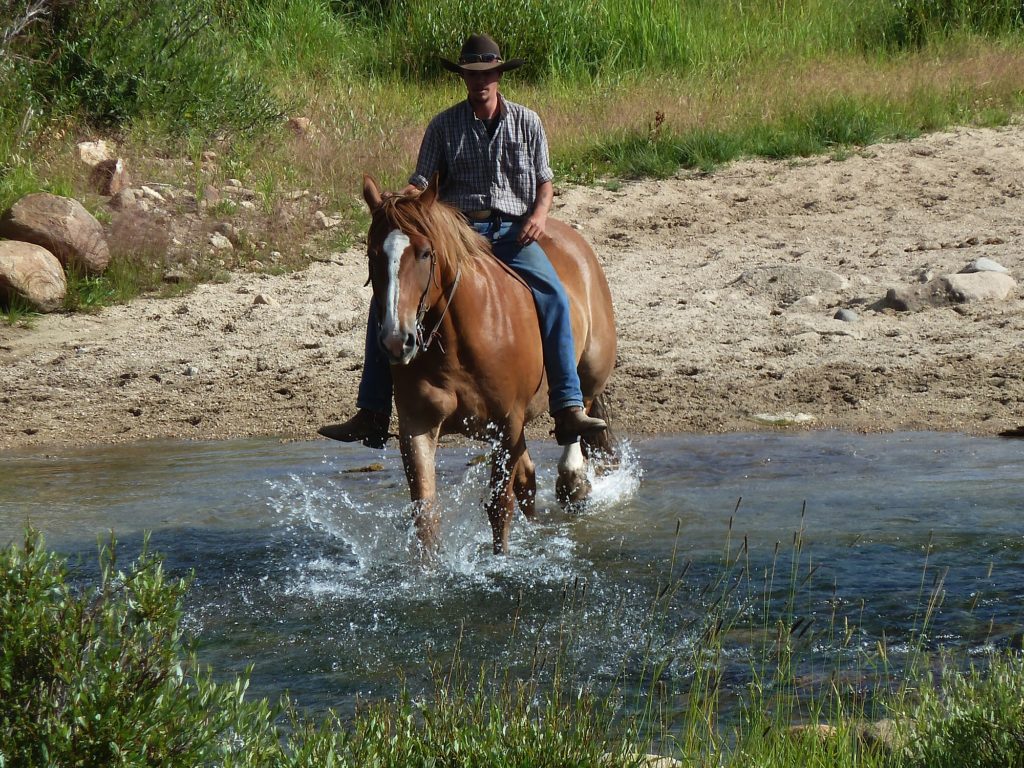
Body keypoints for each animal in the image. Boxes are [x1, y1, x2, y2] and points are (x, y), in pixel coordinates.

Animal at [362, 177, 614, 557]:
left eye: (424, 253)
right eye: (373, 255)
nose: (395, 340)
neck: (459, 343)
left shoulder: (506, 424)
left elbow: (499, 507)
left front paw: (500, 563)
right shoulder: (417, 426)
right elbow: (425, 513)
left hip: (587, 376)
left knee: (576, 417)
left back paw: (574, 481)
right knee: (527, 480)